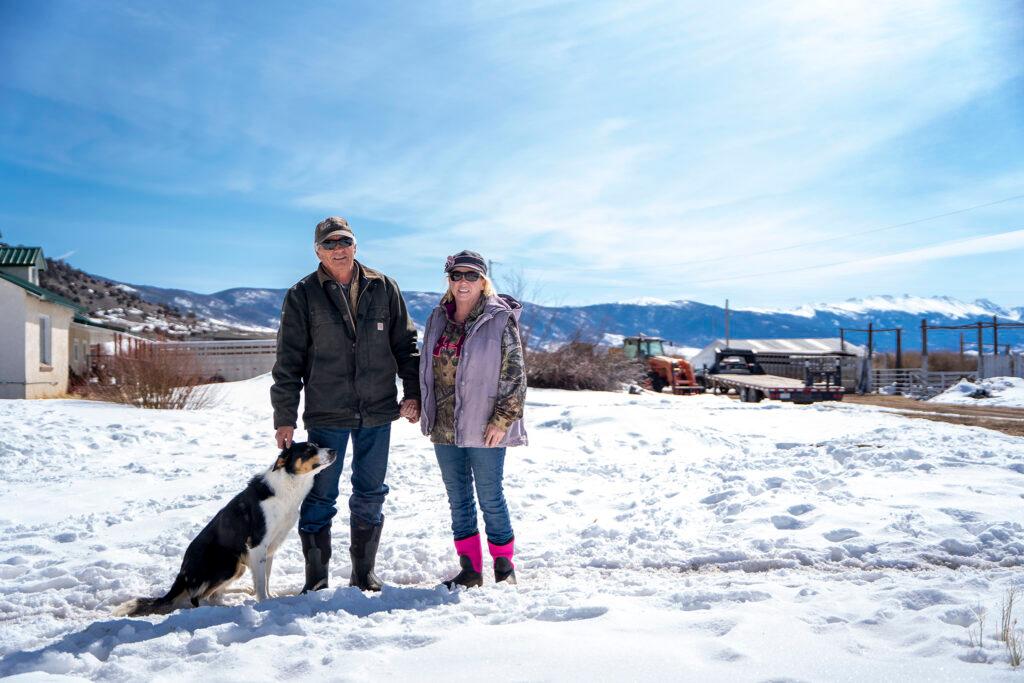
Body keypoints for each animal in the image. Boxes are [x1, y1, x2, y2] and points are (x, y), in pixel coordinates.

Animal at [118, 440, 335, 618]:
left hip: (239, 565)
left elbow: (265, 579)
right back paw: (224, 608)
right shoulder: (257, 545)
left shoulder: (269, 549)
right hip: (229, 562)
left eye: (317, 445)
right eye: (308, 450)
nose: (333, 450)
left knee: (214, 594)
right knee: (199, 599)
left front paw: (270, 596)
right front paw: (265, 603)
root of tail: (183, 573)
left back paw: (242, 591)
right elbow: (261, 582)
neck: (288, 486)